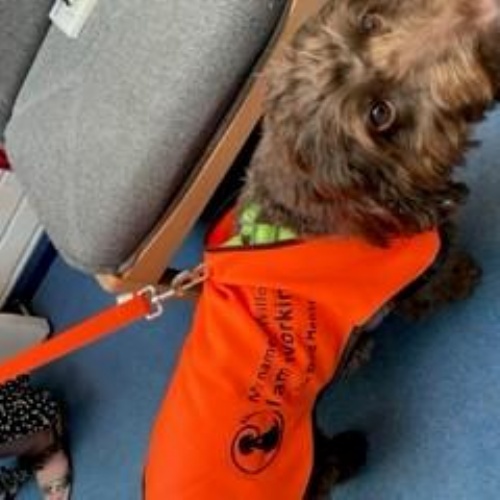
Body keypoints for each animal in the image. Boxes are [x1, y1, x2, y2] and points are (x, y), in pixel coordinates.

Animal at [230, 0, 500, 497]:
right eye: (379, 114)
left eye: (369, 23)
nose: (483, 14)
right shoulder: (414, 277)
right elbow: (435, 284)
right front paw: (463, 277)